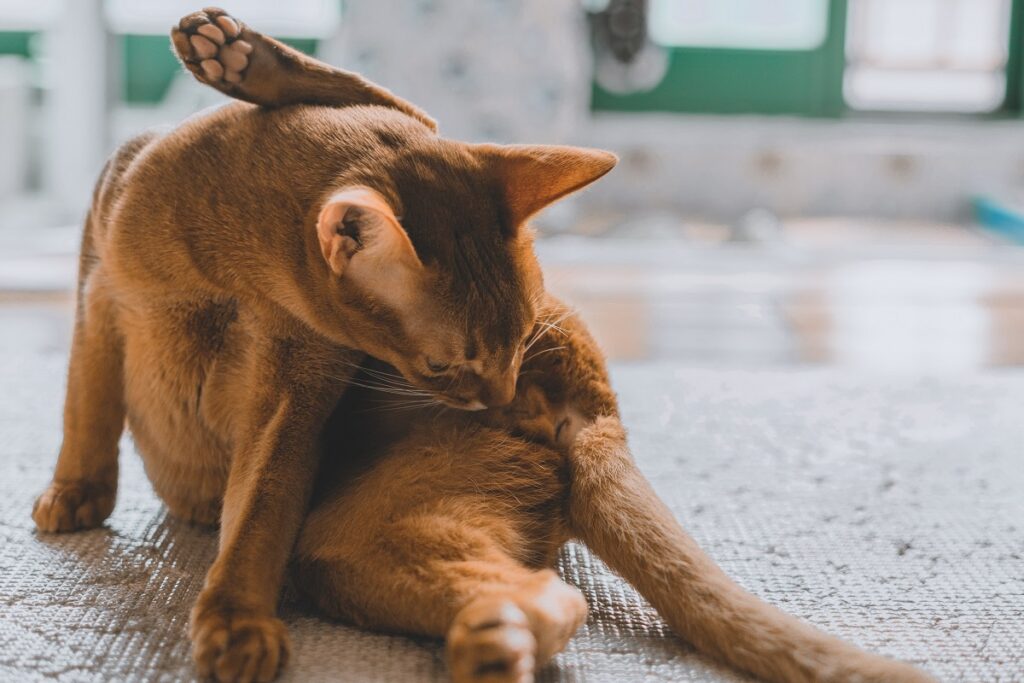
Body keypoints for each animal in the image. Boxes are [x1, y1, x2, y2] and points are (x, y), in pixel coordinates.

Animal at [32, 6, 614, 683]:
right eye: (440, 364)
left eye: (521, 340)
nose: (503, 402)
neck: (225, 269)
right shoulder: (97, 289)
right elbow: (87, 405)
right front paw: (76, 493)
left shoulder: (293, 388)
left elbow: (259, 512)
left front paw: (237, 623)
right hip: (358, 547)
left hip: (351, 540)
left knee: (558, 596)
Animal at [292, 294, 933, 683]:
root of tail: (595, 401)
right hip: (382, 532)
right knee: (543, 596)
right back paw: (492, 652)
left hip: (355, 527)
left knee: (555, 597)